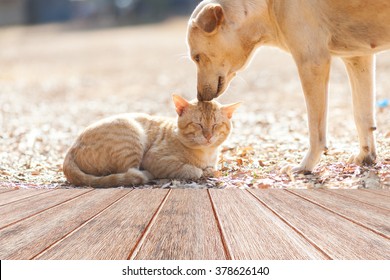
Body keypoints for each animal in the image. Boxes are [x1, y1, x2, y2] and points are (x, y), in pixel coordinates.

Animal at [62, 95, 239, 187]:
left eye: (215, 125)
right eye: (198, 124)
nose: (208, 136)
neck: (207, 153)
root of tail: (70, 149)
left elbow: (212, 169)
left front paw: (209, 170)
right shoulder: (155, 159)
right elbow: (191, 169)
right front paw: (200, 171)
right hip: (131, 135)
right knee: (128, 173)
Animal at [188, 0, 390, 172]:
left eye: (196, 57)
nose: (199, 97)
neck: (269, 5)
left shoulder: (312, 62)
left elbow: (315, 129)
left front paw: (305, 166)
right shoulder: (358, 57)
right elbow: (362, 117)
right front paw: (366, 157)